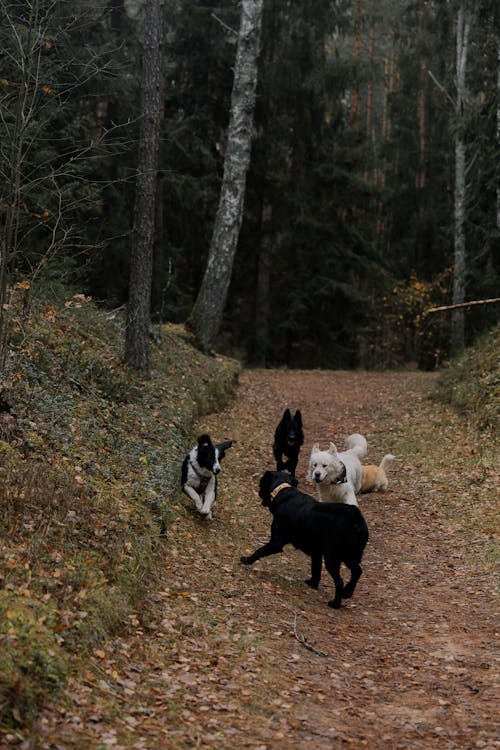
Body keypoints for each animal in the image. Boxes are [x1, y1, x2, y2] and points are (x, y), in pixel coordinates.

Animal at [240, 472, 370, 608]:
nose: (258, 492)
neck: (284, 493)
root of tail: (355, 516)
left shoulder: (276, 543)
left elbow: (259, 551)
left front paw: (247, 560)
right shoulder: (316, 553)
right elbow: (316, 569)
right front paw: (313, 583)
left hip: (332, 558)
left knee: (339, 581)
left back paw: (335, 603)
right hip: (349, 556)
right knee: (357, 572)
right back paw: (347, 592)